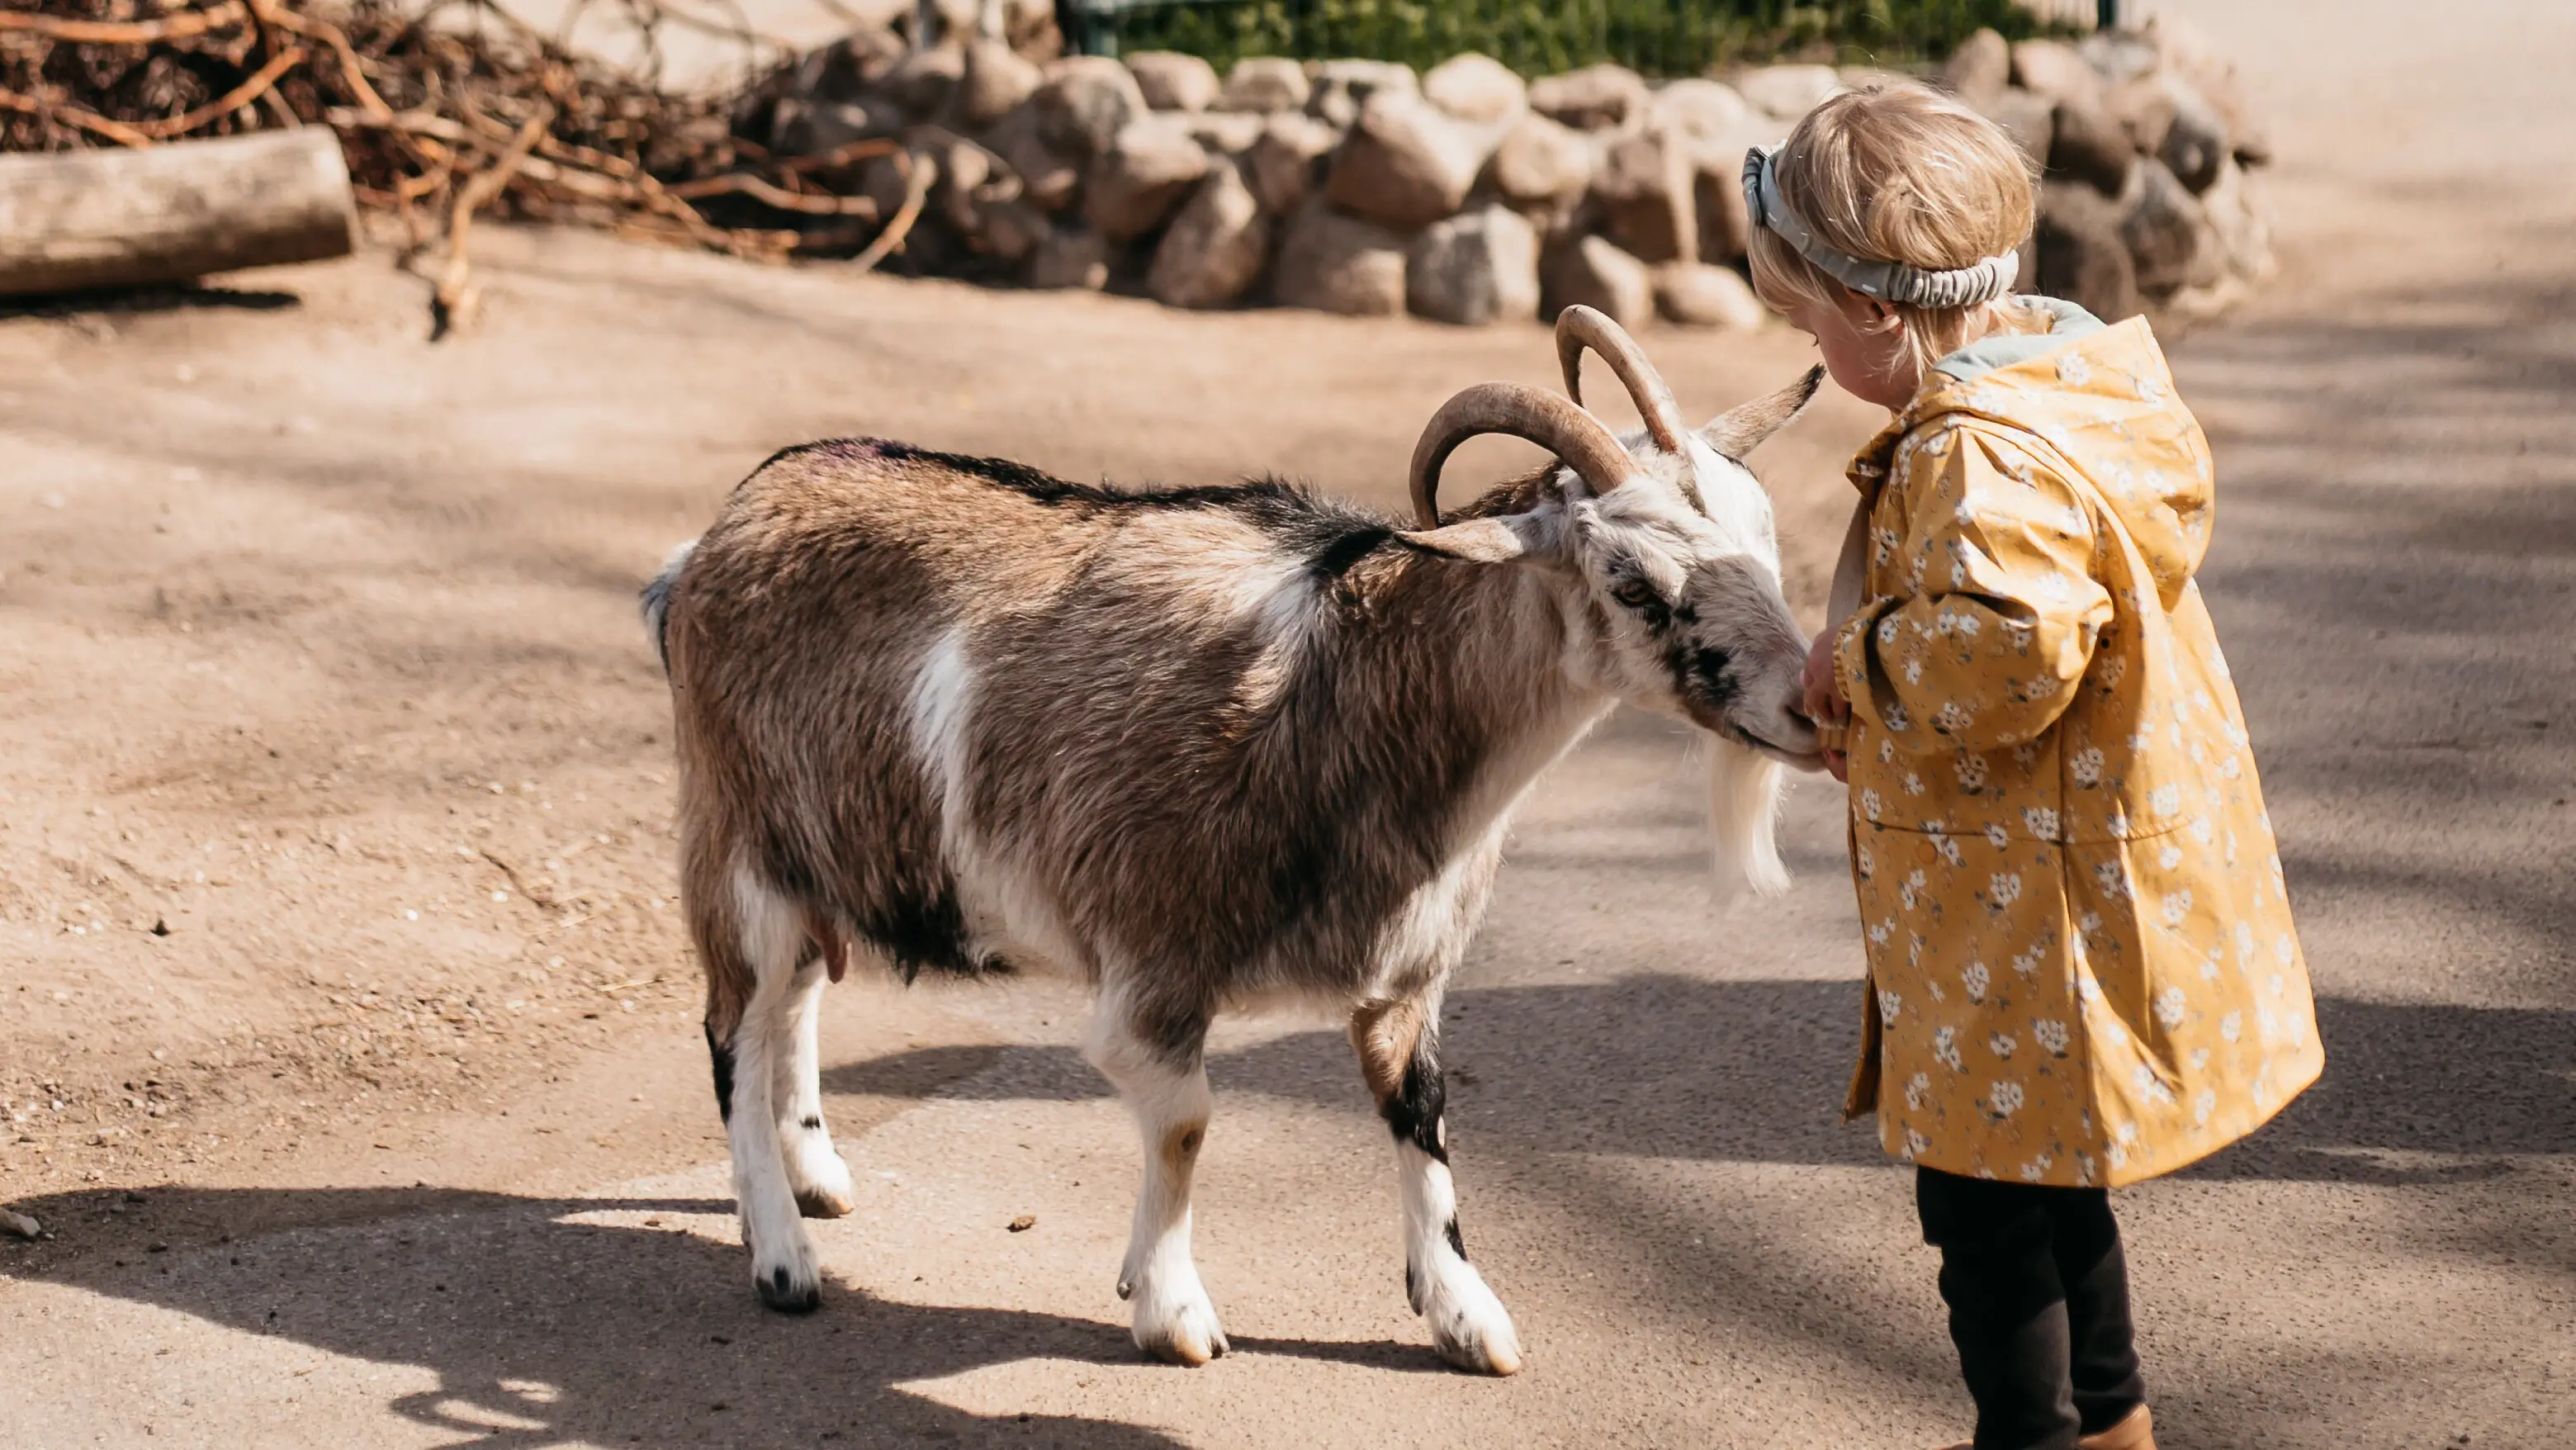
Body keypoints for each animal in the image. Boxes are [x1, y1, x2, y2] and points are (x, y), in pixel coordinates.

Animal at [643, 308, 1825, 1374]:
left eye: (1765, 534)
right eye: (1632, 581)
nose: (1807, 710)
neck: (1342, 690)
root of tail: (713, 536)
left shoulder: (1407, 974)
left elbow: (1422, 1112)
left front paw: (1464, 1315)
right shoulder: (1156, 965)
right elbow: (1186, 1125)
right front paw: (1171, 1312)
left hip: (819, 851)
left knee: (791, 1003)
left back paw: (815, 1179)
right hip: (736, 844)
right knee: (732, 1031)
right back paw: (782, 1259)